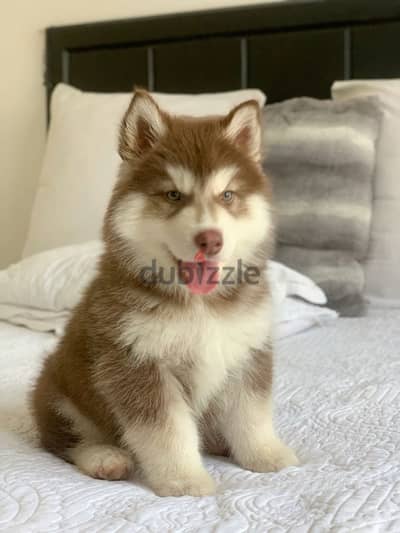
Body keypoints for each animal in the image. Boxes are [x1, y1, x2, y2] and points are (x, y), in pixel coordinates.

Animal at [32, 90, 298, 494]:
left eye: (228, 195)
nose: (210, 239)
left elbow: (251, 413)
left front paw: (266, 454)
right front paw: (185, 479)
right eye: (173, 195)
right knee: (65, 440)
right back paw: (104, 457)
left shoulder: (247, 351)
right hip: (56, 389)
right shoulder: (136, 362)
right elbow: (167, 431)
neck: (200, 305)